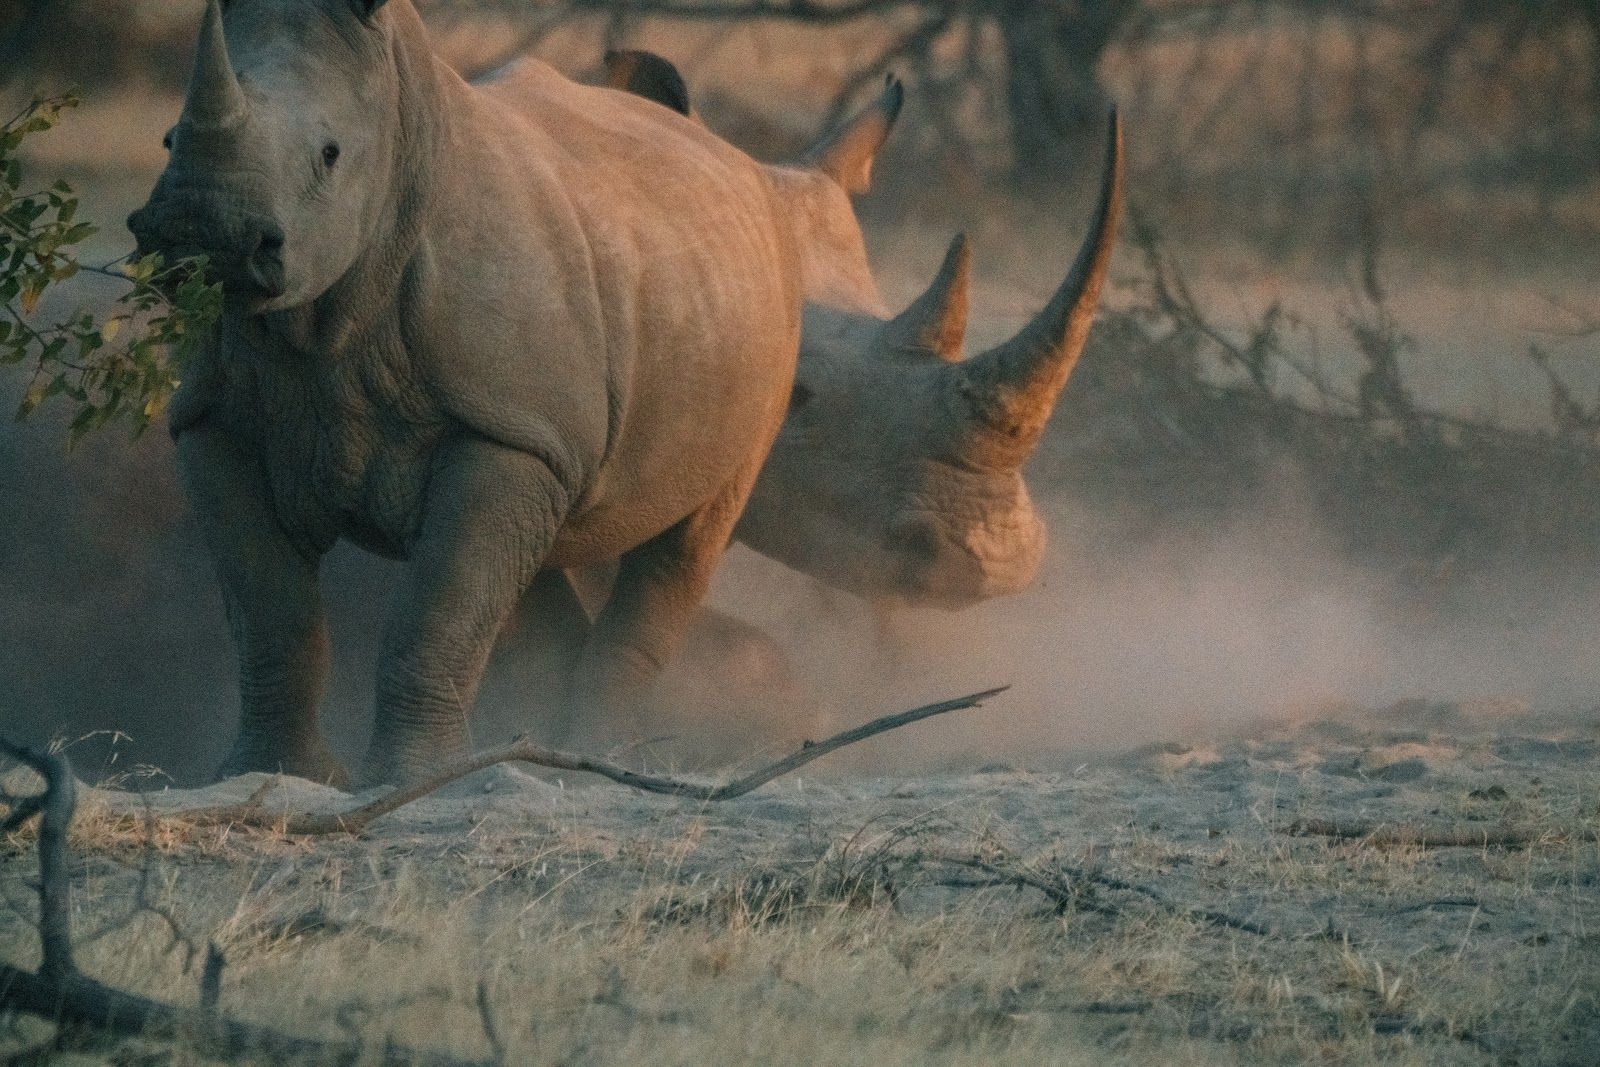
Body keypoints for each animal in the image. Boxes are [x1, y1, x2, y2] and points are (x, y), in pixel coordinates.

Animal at [125, 0, 916, 788]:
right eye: (166, 138)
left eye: (330, 154)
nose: (202, 233)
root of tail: (746, 162)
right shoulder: (214, 418)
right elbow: (271, 614)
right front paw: (266, 777)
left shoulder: (504, 430)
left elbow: (436, 610)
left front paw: (411, 782)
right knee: (531, 557)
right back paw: (546, 744)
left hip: (767, 329)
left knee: (685, 538)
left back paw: (598, 755)